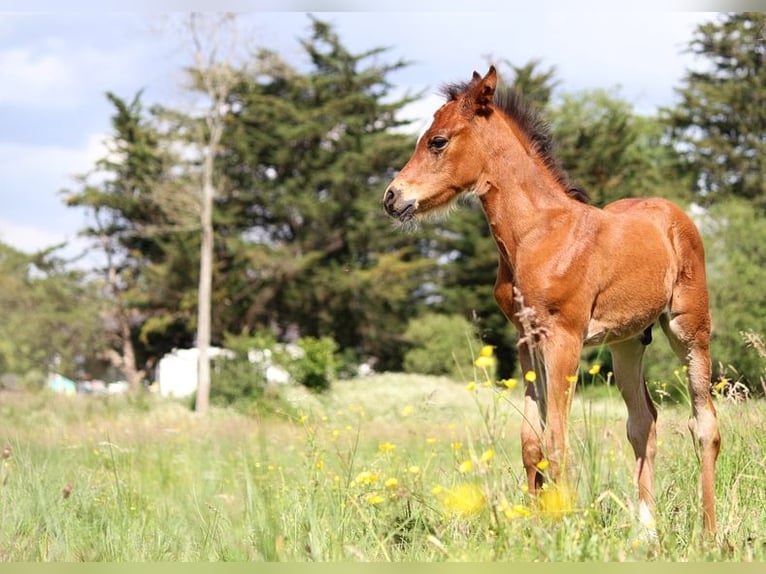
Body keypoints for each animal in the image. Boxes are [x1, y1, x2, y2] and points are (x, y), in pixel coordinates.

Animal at [388, 66, 724, 536]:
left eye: (437, 141)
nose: (392, 197)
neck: (536, 234)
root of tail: (676, 216)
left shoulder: (564, 337)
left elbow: (557, 441)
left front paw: (564, 529)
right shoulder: (527, 339)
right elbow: (531, 442)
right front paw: (536, 530)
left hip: (688, 328)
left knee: (704, 424)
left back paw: (711, 533)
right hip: (627, 341)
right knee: (644, 422)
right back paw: (645, 533)